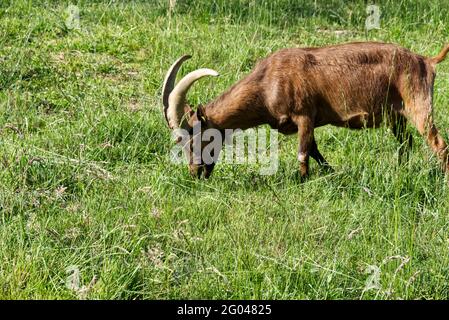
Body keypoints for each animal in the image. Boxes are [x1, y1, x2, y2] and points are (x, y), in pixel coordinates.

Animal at [161, 41, 448, 179]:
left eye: (195, 140)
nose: (196, 174)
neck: (266, 84)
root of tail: (426, 60)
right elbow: (315, 150)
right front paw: (332, 173)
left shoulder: (305, 115)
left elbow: (303, 153)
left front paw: (302, 181)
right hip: (396, 116)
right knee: (406, 142)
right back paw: (401, 170)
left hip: (419, 105)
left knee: (438, 143)